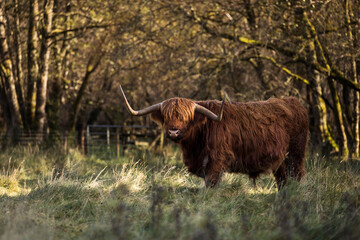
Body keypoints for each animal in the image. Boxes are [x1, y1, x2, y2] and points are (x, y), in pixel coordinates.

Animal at [119, 86, 308, 189]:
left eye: (186, 118)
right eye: (166, 116)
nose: (173, 132)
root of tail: (293, 102)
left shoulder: (216, 160)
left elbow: (211, 183)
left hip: (295, 154)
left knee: (296, 175)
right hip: (281, 160)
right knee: (282, 179)